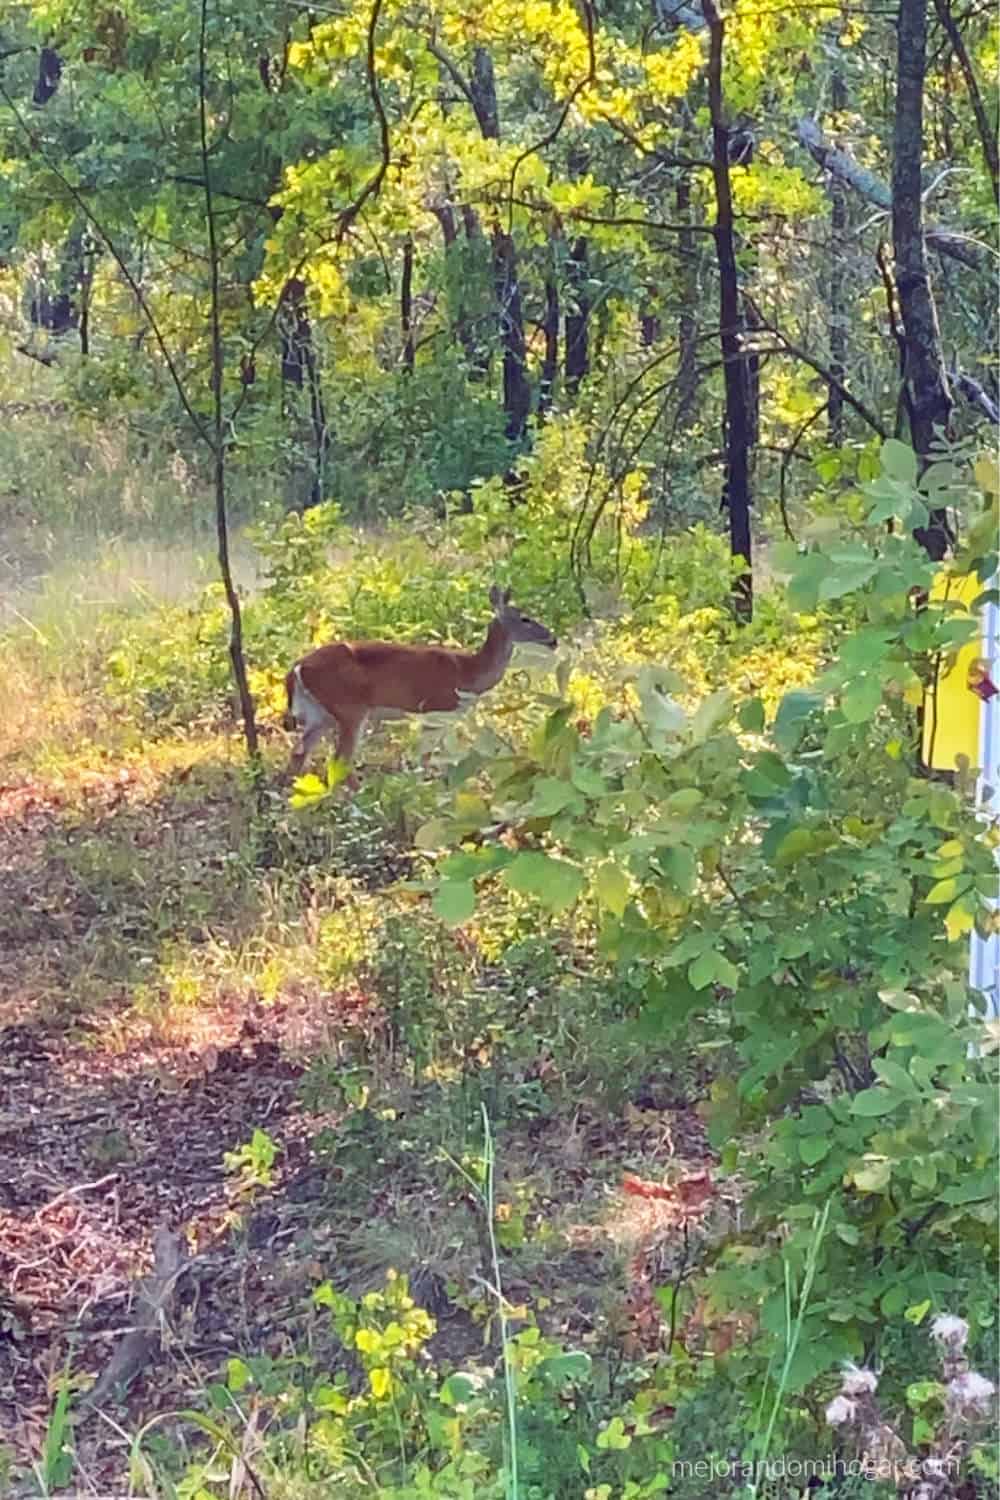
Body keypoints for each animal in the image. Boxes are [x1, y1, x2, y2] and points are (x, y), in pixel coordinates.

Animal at [284, 582, 560, 780]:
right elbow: (428, 756)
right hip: (350, 708)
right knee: (340, 758)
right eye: (525, 618)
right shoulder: (435, 707)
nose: (553, 639)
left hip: (320, 713)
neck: (467, 673)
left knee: (299, 752)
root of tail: (297, 667)